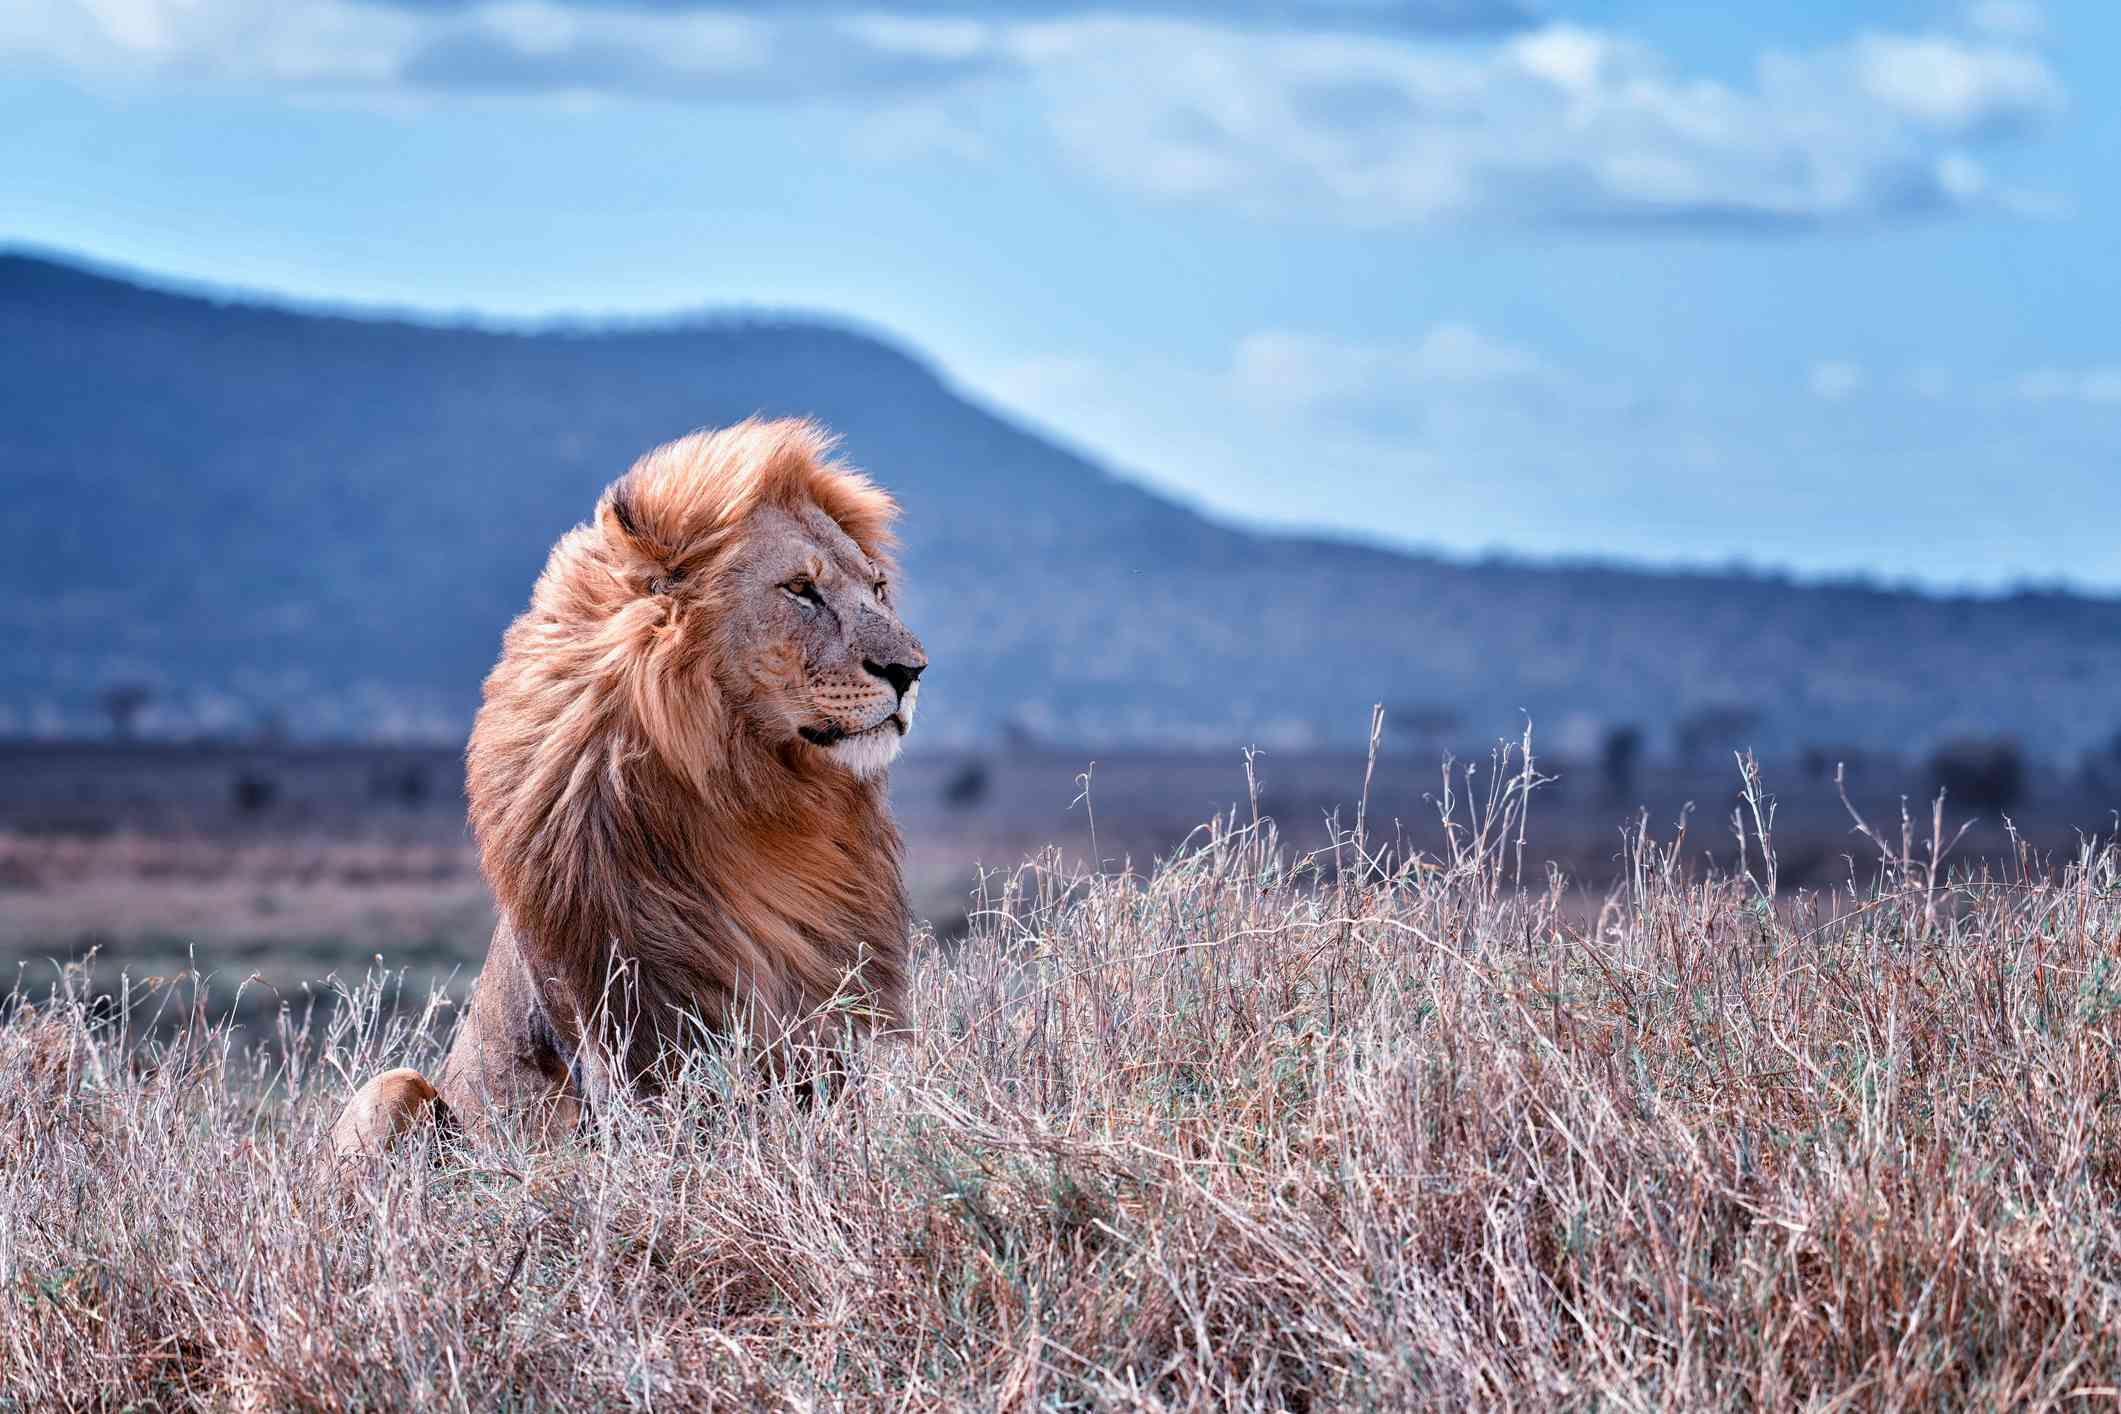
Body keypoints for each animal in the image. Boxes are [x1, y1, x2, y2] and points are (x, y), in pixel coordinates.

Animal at [332, 415, 928, 1153]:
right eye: (799, 589)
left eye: (877, 589)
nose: (912, 670)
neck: (758, 792)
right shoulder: (632, 1032)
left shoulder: (833, 1021)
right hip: (388, 1089)